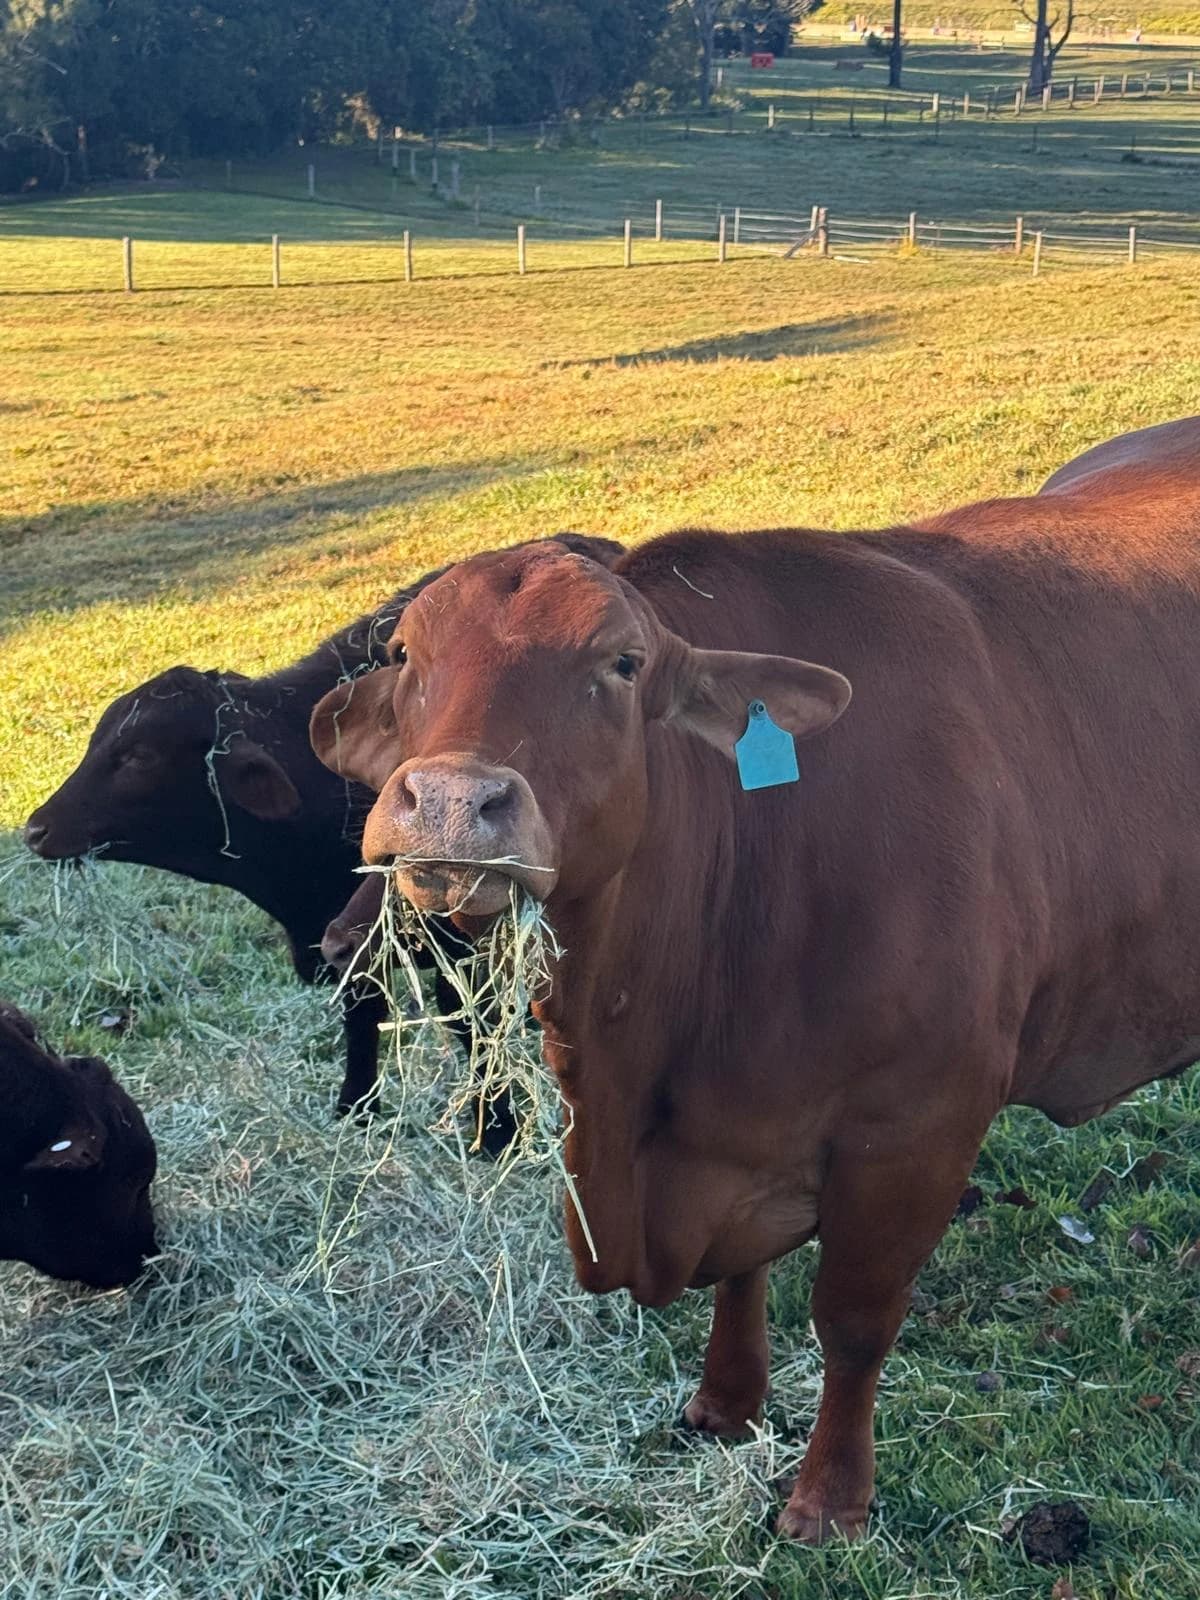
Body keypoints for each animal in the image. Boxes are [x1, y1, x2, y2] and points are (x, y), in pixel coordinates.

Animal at [24, 535, 623, 1117]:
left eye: (138, 756)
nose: (35, 829)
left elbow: (460, 1016)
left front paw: (491, 1116)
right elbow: (367, 1005)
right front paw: (356, 1104)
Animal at [308, 428, 1200, 1543]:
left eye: (622, 662)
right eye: (405, 656)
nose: (448, 804)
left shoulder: (918, 1124)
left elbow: (853, 1321)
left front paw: (830, 1494)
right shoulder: (727, 1129)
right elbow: (743, 1273)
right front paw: (725, 1402)